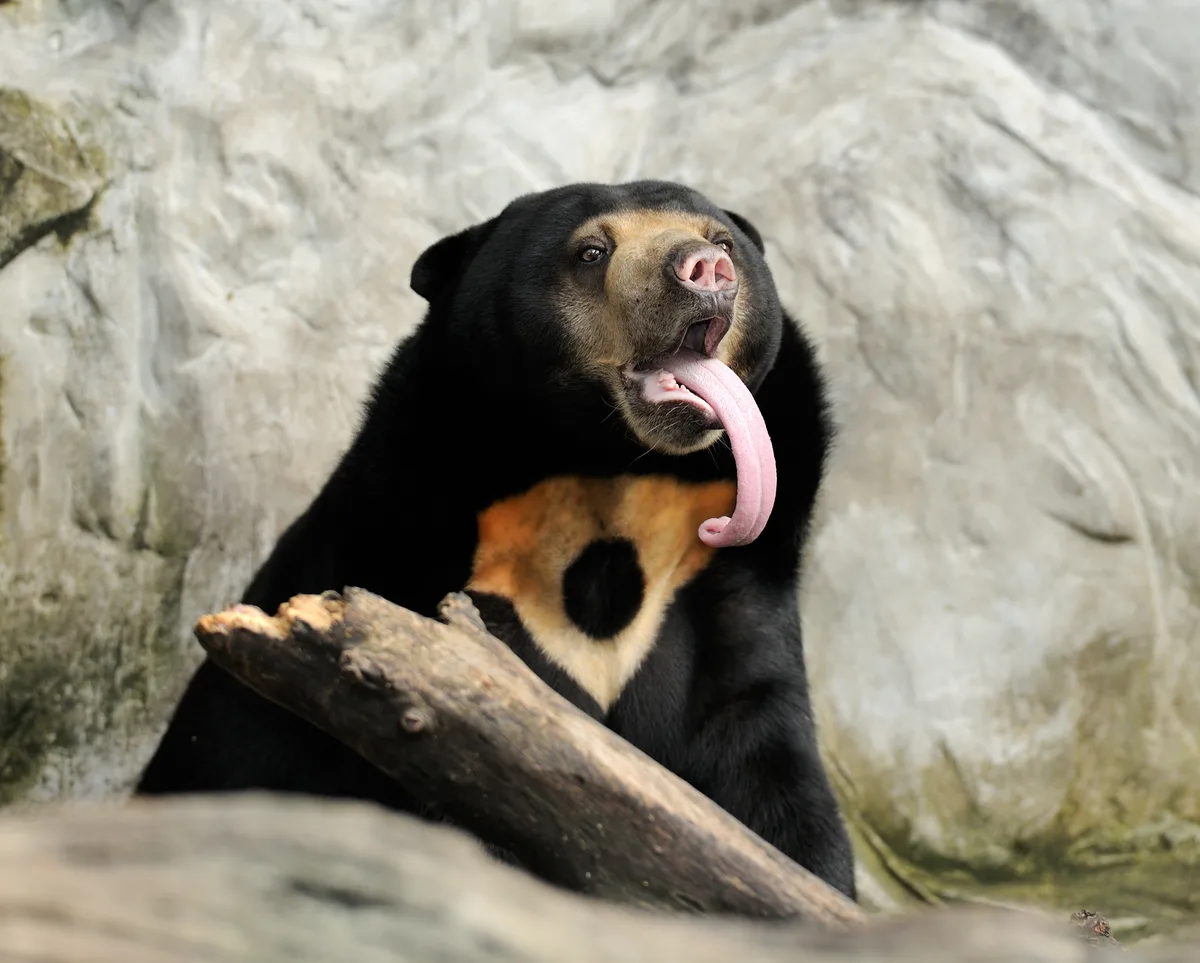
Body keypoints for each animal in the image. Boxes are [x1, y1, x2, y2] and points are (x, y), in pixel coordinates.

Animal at [135, 179, 857, 901]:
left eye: (723, 240)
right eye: (592, 251)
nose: (705, 269)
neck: (610, 470)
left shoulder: (723, 573)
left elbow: (763, 760)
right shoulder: (426, 556)